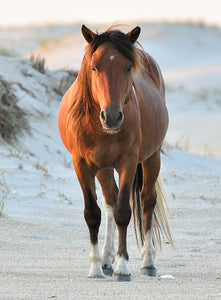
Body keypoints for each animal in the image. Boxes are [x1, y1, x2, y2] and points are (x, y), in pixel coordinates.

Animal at [57, 24, 174, 282]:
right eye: (94, 67)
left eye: (128, 67)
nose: (111, 117)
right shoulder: (82, 165)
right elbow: (93, 213)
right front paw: (96, 267)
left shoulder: (128, 162)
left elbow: (123, 211)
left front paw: (122, 266)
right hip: (104, 168)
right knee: (109, 200)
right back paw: (106, 259)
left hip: (152, 158)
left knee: (147, 201)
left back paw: (148, 263)